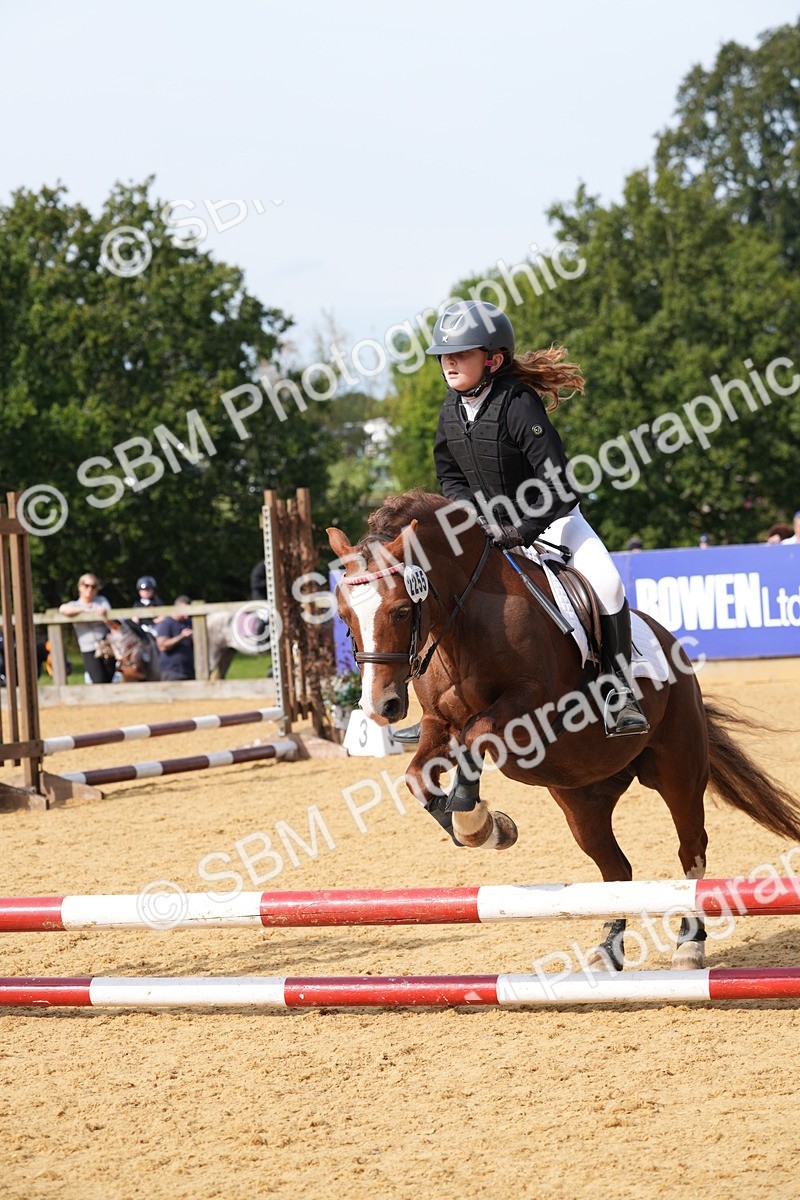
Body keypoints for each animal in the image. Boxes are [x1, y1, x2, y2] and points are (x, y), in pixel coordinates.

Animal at [327, 490, 800, 972]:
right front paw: (485, 826)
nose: (379, 707)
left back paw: (690, 944)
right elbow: (417, 776)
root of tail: (672, 645)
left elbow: (477, 733)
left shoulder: (530, 709)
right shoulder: (438, 724)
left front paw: (477, 822)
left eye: (402, 609)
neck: (465, 619)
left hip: (678, 772)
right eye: (343, 614)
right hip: (582, 798)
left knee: (692, 854)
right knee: (616, 872)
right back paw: (608, 950)